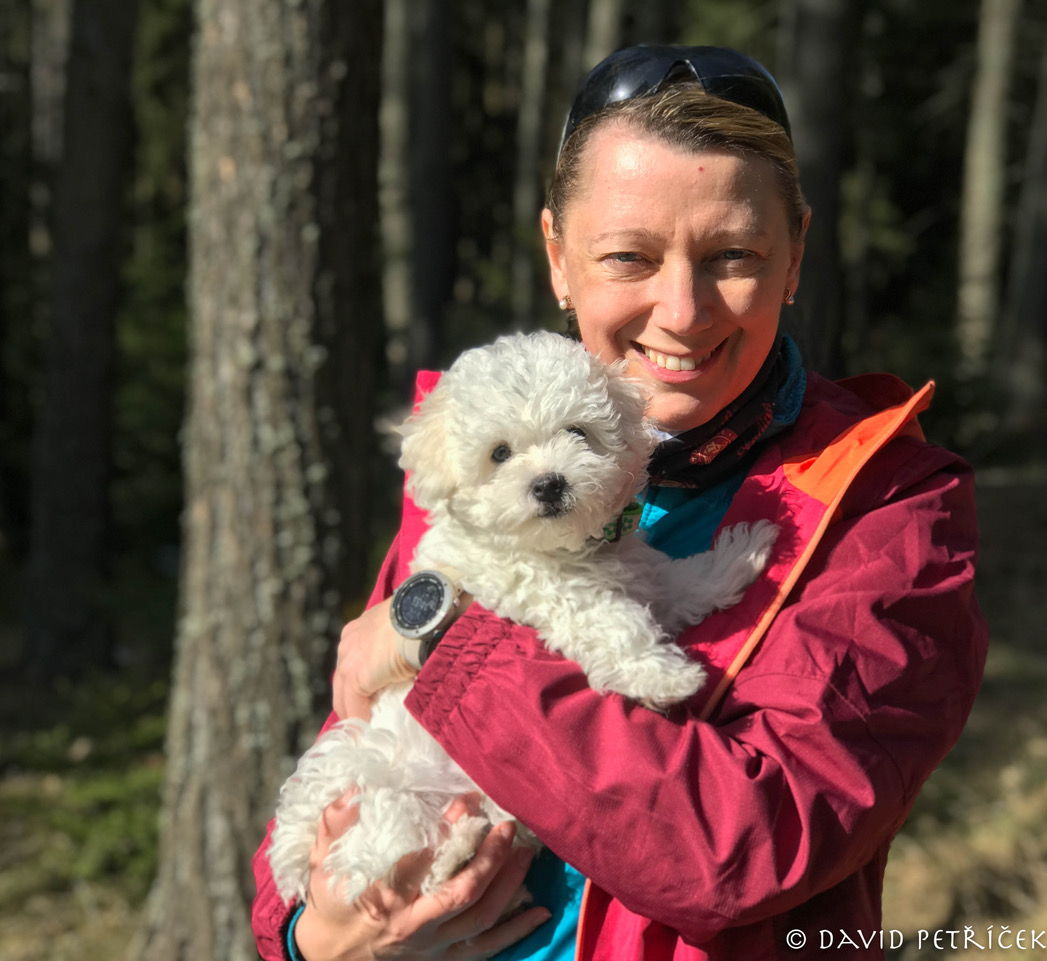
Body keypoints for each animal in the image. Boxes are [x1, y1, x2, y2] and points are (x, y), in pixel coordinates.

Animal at [268, 330, 778, 905]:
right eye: (500, 453)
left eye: (577, 432)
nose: (549, 484)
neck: (560, 549)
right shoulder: (543, 591)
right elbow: (613, 621)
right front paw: (665, 677)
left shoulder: (640, 575)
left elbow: (683, 582)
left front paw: (742, 556)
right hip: (373, 782)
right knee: (382, 861)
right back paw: (453, 856)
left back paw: (466, 843)